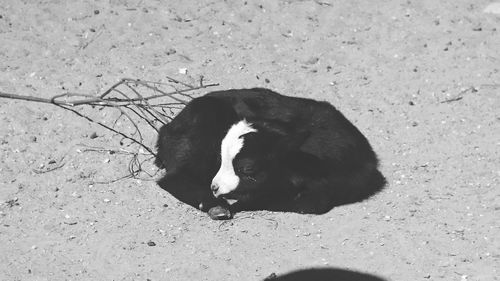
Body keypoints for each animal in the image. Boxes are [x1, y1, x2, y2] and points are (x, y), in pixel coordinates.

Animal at [154, 88, 384, 218]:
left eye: (247, 168)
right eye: (221, 159)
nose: (215, 187)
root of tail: (168, 128)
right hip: (201, 129)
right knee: (174, 177)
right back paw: (216, 206)